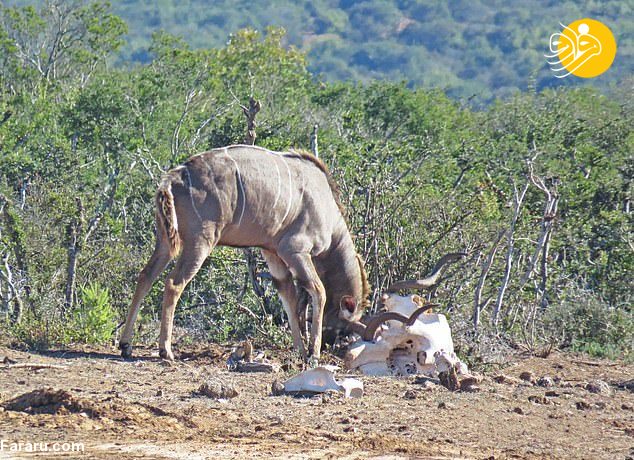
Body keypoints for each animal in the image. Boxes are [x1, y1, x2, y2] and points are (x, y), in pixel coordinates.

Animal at [117, 146, 370, 362]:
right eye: (343, 327)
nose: (329, 344)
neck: (329, 215)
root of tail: (172, 178)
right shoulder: (295, 250)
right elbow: (318, 290)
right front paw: (312, 354)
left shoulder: (272, 252)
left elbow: (288, 295)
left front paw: (299, 350)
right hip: (200, 242)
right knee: (173, 283)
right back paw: (166, 350)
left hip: (166, 242)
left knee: (145, 276)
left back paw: (126, 345)